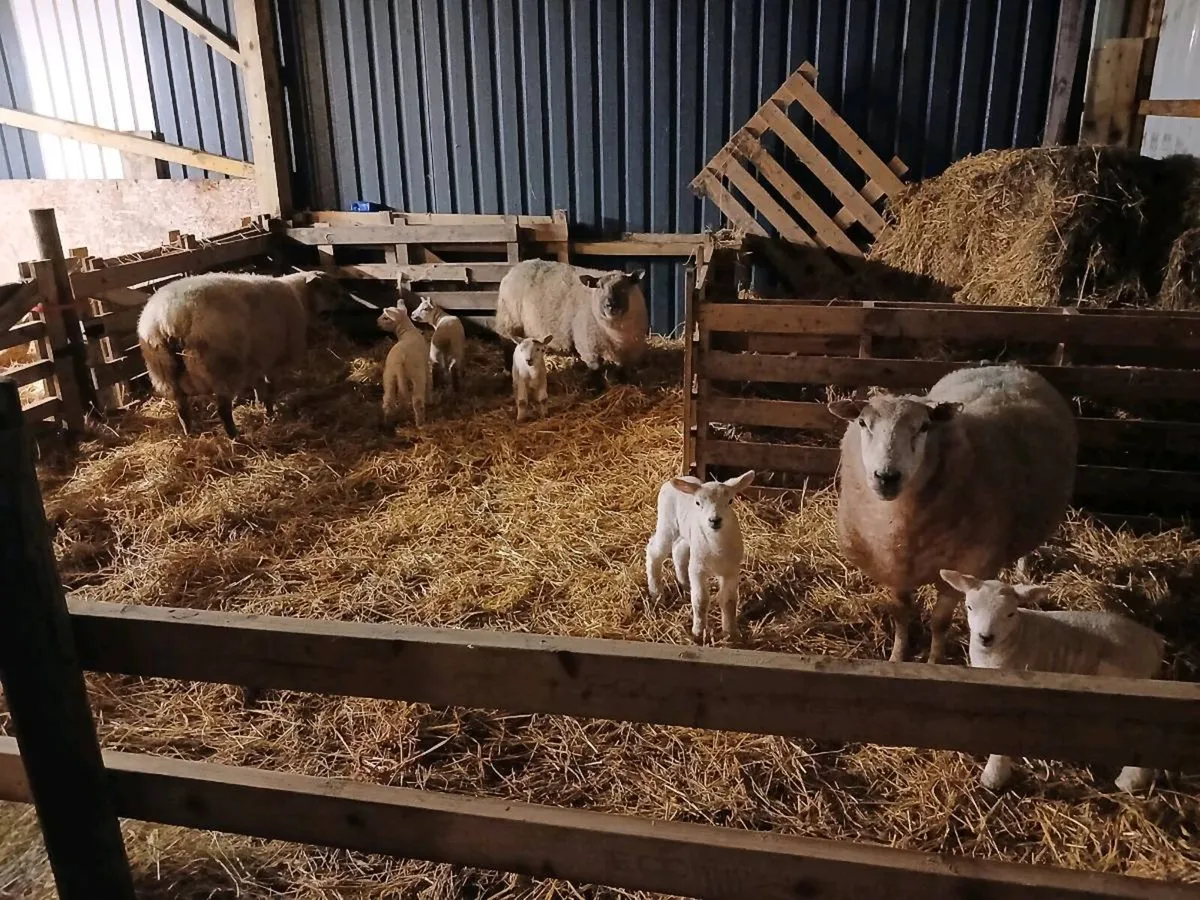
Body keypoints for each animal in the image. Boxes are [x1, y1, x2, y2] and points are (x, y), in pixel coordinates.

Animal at [137, 271, 340, 437]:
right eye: (331, 290)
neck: (300, 297)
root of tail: (168, 318)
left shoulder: (256, 359)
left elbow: (259, 385)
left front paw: (260, 404)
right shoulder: (273, 359)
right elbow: (270, 387)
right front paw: (270, 412)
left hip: (165, 371)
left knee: (182, 408)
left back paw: (190, 434)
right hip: (220, 368)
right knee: (223, 410)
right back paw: (235, 436)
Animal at [495, 259, 648, 390]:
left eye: (624, 288)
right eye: (599, 287)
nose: (609, 305)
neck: (616, 334)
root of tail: (516, 267)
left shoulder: (629, 353)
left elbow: (622, 370)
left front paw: (625, 385)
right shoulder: (589, 348)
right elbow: (596, 370)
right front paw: (595, 388)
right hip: (509, 322)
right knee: (507, 346)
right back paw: (508, 372)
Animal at [645, 471, 755, 644]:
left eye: (730, 501)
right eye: (697, 503)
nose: (714, 520)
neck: (717, 548)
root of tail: (679, 478)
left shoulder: (731, 570)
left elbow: (729, 601)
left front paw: (731, 633)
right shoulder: (698, 569)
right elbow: (701, 600)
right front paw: (698, 632)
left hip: (687, 535)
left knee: (679, 550)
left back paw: (685, 584)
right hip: (667, 523)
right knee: (654, 551)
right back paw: (657, 594)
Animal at [828, 364, 1078, 664]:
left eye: (924, 427)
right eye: (863, 424)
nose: (887, 477)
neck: (900, 523)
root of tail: (1007, 365)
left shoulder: (964, 567)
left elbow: (940, 622)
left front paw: (935, 662)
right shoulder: (894, 569)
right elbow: (901, 616)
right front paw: (897, 656)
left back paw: (1022, 569)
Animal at [940, 569, 1165, 795]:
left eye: (1010, 614)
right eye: (969, 607)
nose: (985, 637)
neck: (1016, 636)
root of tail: (1152, 638)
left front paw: (993, 777)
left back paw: (1129, 781)